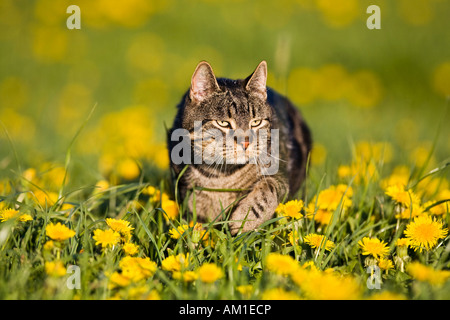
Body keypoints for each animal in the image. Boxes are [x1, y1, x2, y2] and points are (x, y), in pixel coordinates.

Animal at [167, 60, 312, 235]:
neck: (222, 176)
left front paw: (245, 218)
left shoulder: (281, 176)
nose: (246, 142)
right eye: (223, 123)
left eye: (256, 122)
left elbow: (268, 190)